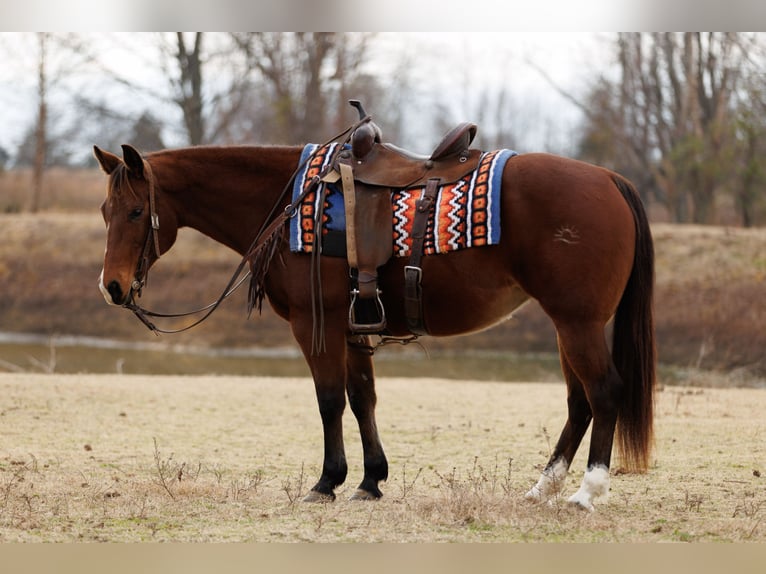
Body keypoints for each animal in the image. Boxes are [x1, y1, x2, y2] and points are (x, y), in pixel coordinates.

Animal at [93, 137, 655, 511]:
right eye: (104, 210)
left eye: (137, 211)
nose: (112, 287)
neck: (291, 201)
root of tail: (609, 179)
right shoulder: (353, 331)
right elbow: (363, 398)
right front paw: (370, 480)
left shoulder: (314, 326)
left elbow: (329, 401)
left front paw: (327, 481)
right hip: (568, 325)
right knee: (579, 401)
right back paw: (543, 487)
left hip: (578, 323)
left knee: (604, 391)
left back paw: (588, 491)